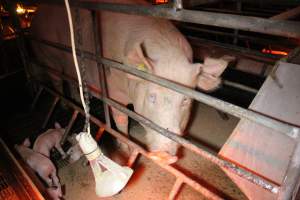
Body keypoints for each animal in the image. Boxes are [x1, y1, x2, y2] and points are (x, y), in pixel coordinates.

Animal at [29, 0, 232, 164]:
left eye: (185, 100)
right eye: (152, 97)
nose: (168, 156)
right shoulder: (112, 90)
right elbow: (121, 119)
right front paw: (125, 149)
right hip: (47, 55)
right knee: (56, 78)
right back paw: (65, 105)